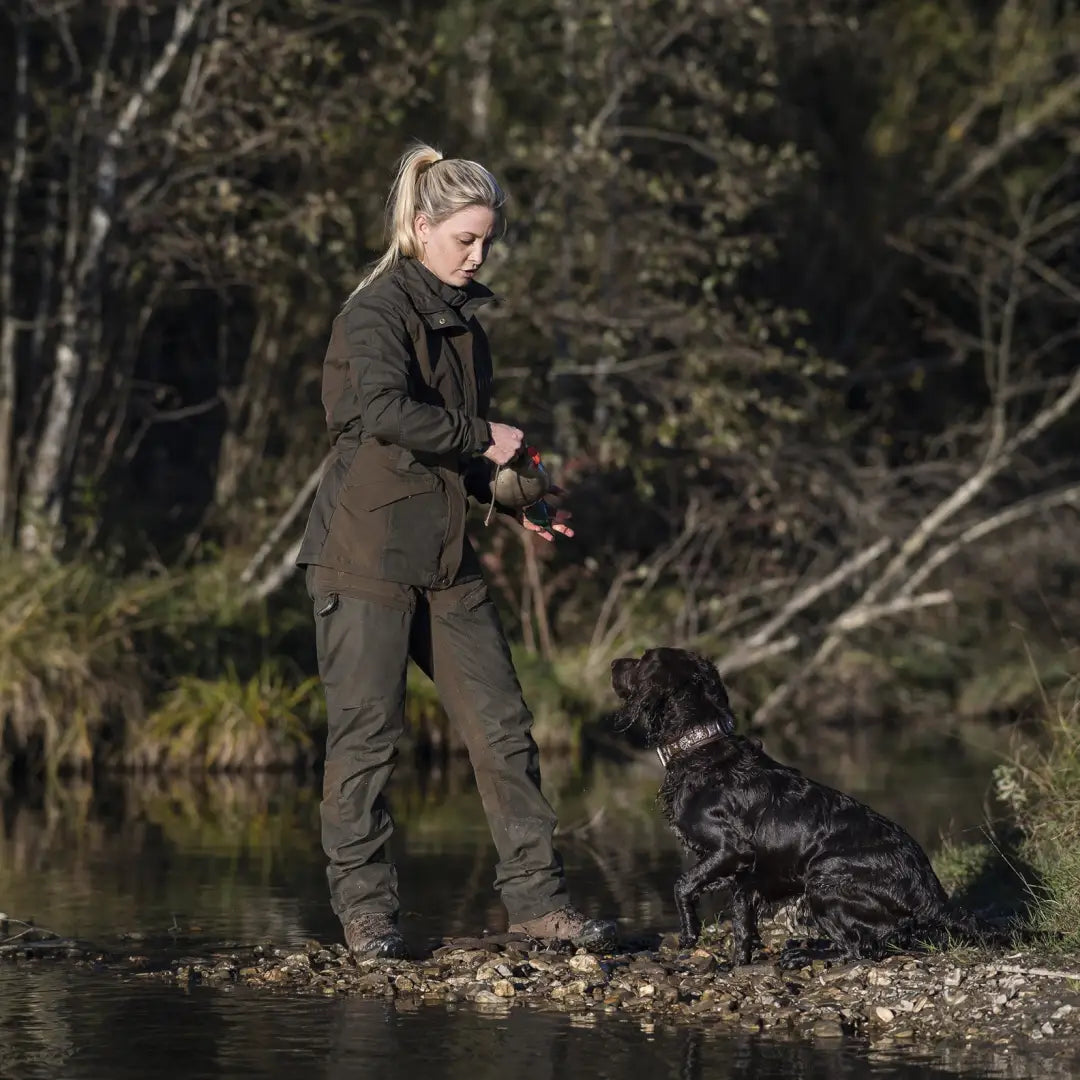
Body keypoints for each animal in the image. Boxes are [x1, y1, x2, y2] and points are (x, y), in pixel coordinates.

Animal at [613, 643, 984, 967]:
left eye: (642, 659)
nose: (614, 662)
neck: (701, 748)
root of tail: (930, 895)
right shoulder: (745, 874)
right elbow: (741, 918)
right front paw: (737, 962)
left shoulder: (730, 849)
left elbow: (682, 885)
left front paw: (690, 934)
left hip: (825, 881)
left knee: (859, 948)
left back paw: (802, 955)